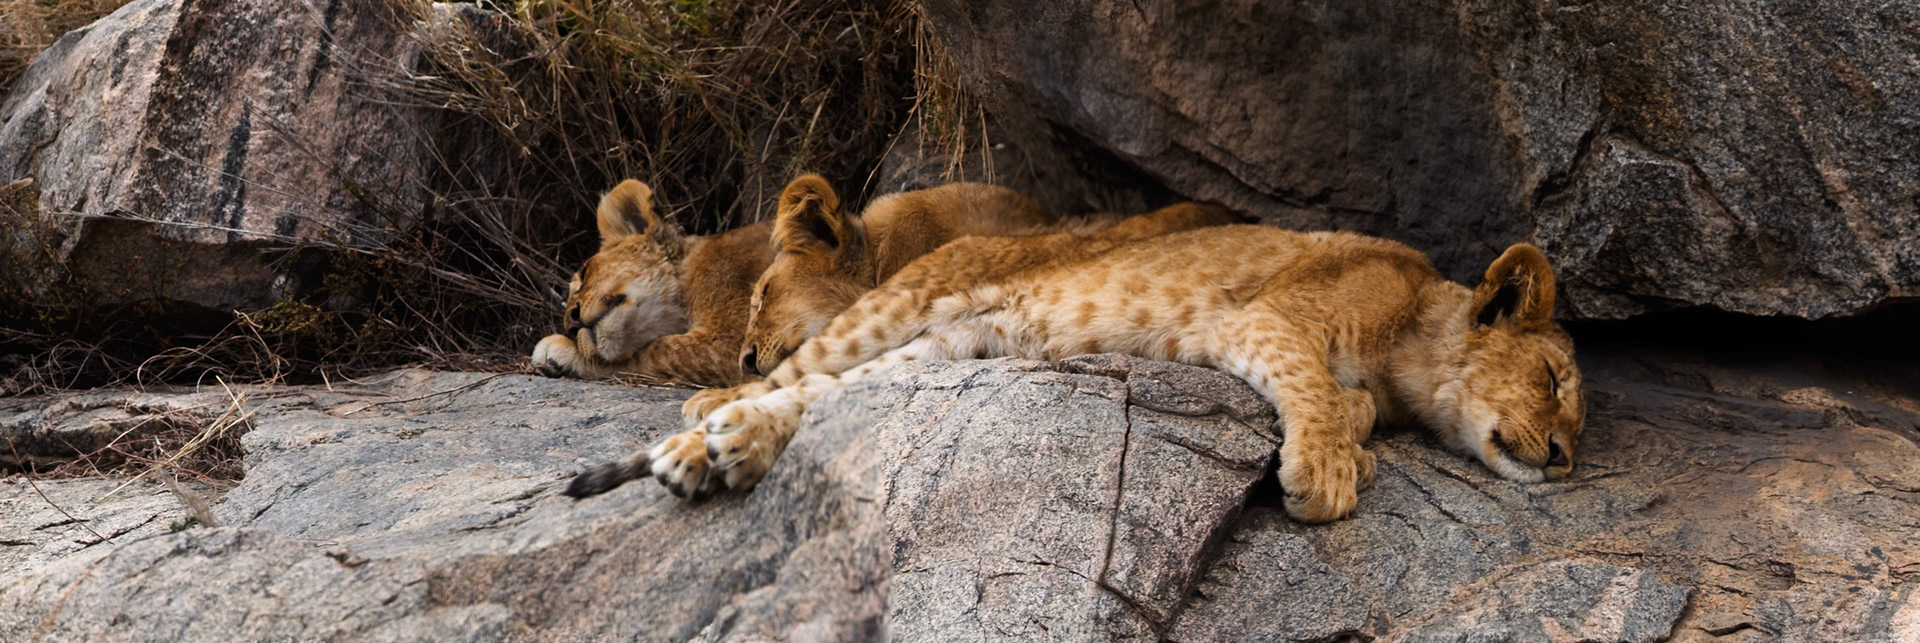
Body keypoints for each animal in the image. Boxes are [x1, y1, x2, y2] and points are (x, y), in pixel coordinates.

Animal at [567, 224, 1586, 524]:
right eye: (1554, 380)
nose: (1567, 460)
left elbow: (1351, 403)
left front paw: (1357, 443)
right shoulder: (1265, 317)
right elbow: (1319, 388)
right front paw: (1330, 472)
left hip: (950, 350)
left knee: (820, 401)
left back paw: (715, 451)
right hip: (891, 311)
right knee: (784, 375)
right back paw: (706, 419)